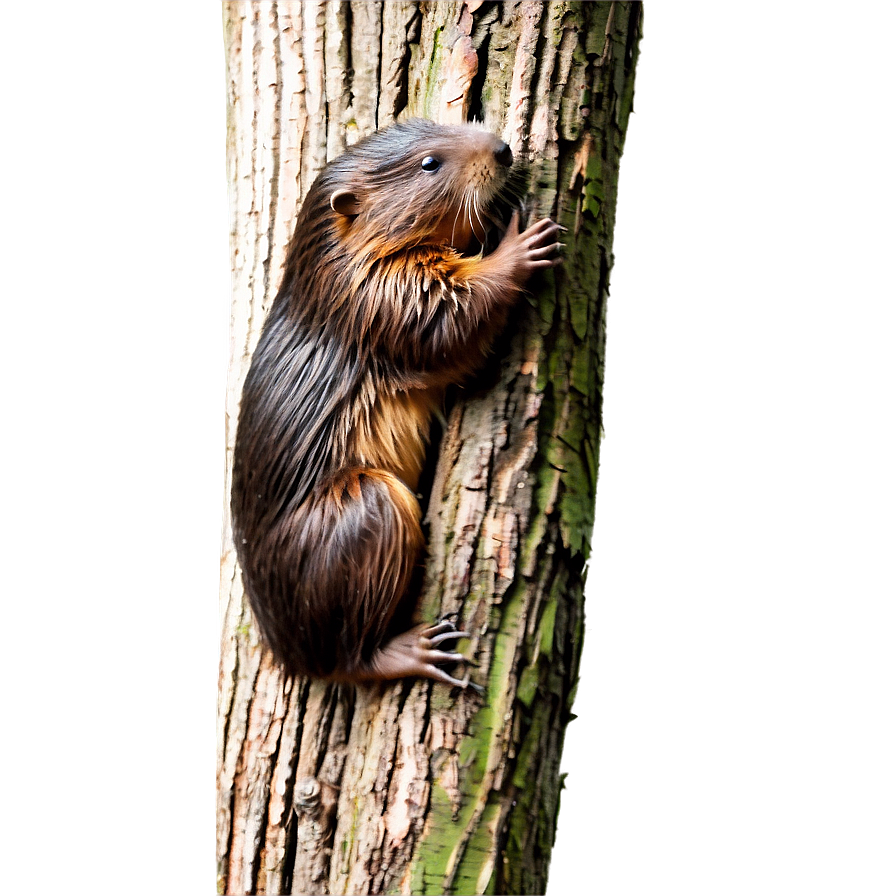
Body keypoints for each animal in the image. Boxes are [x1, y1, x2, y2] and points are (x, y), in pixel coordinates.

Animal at [233, 119, 560, 688]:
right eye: (428, 164)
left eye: (441, 125)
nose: (502, 149)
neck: (338, 266)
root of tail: (291, 656)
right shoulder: (383, 299)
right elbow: (452, 323)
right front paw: (520, 246)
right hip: (370, 505)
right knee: (350, 660)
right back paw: (420, 650)